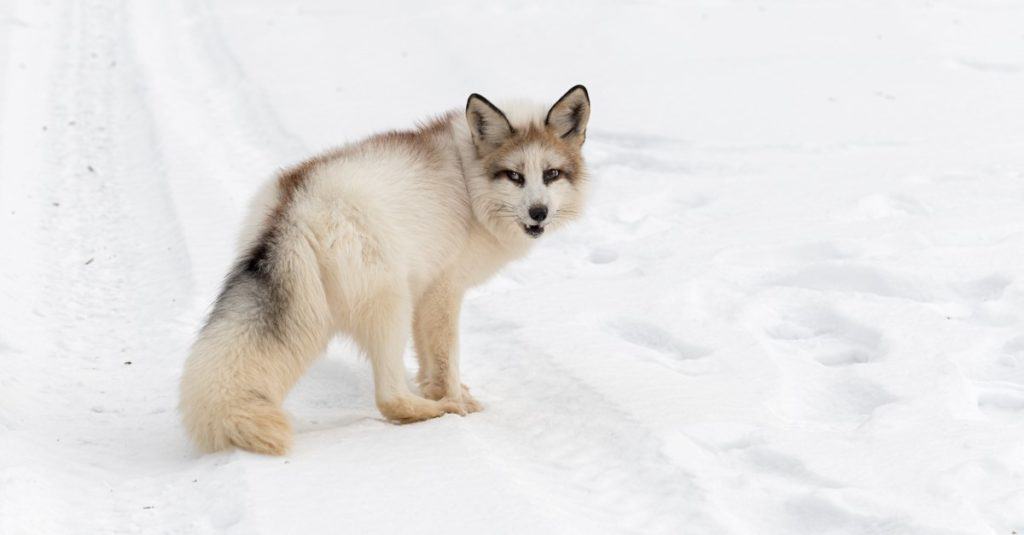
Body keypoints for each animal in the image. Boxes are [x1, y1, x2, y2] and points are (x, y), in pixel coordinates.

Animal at [180, 85, 589, 450]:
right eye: (515, 176)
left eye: (551, 174)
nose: (539, 212)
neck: (470, 184)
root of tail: (295, 206)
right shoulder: (443, 291)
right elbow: (447, 359)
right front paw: (457, 401)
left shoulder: (426, 296)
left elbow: (430, 362)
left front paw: (442, 390)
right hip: (392, 306)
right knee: (389, 398)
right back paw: (439, 411)